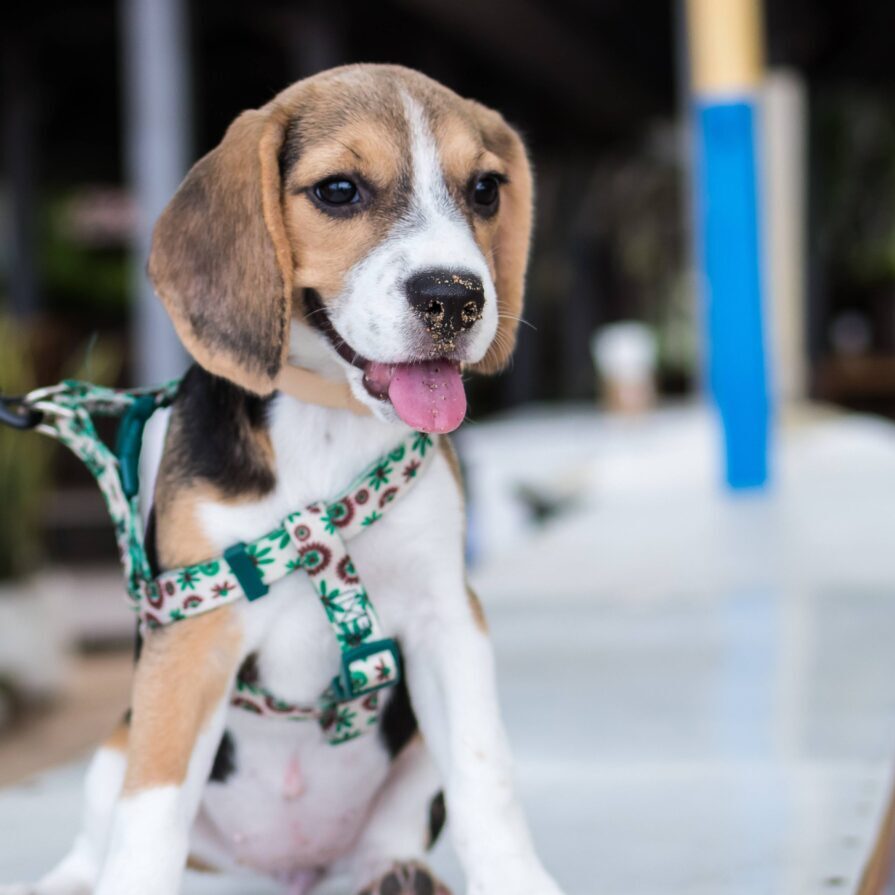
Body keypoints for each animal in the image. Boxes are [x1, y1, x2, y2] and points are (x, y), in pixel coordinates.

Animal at [10, 65, 564, 895]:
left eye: (485, 190)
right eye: (338, 190)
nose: (455, 297)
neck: (327, 418)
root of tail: (284, 871)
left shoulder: (446, 618)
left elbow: (483, 771)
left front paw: (516, 879)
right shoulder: (192, 635)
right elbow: (151, 811)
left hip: (408, 755)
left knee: (395, 825)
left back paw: (394, 869)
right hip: (114, 741)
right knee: (101, 827)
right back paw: (68, 879)